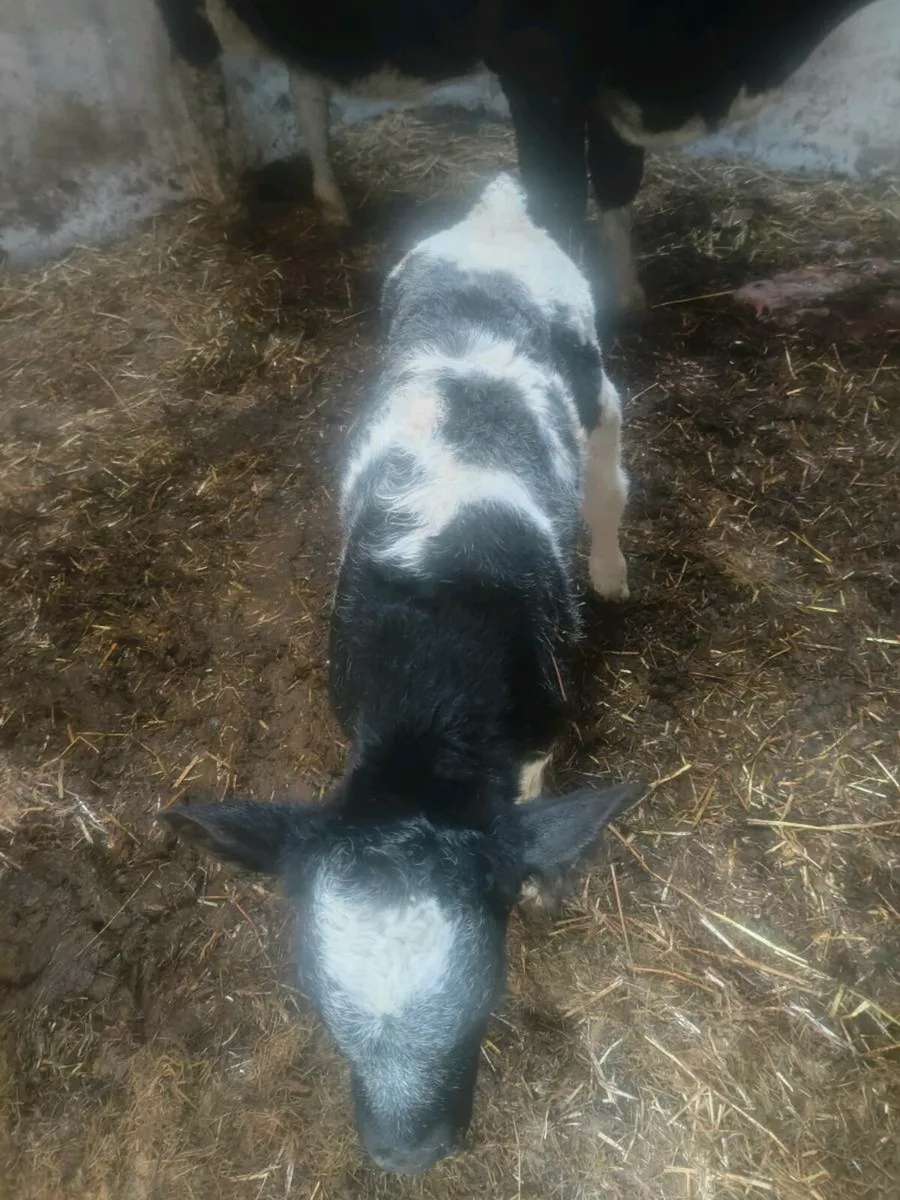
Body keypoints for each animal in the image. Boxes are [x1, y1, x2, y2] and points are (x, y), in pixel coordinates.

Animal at [161, 173, 643, 1173]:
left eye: (484, 999)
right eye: (321, 1006)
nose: (405, 1153)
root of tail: (496, 210)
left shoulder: (537, 731)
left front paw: (540, 884)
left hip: (593, 374)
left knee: (608, 470)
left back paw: (612, 568)